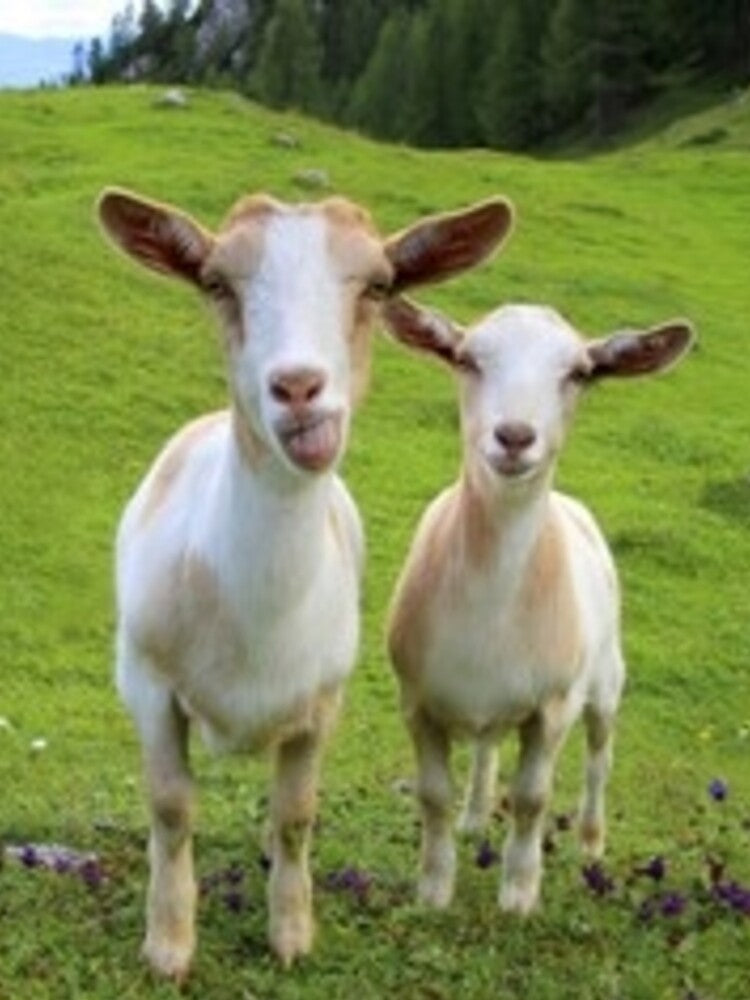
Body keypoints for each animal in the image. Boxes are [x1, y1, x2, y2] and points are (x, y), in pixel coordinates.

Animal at [97, 187, 514, 979]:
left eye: (378, 285)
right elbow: (171, 808)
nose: (298, 389)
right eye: (217, 283)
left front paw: (291, 932)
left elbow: (297, 813)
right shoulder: (148, 684)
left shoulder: (323, 701)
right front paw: (168, 945)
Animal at [383, 296, 694, 914]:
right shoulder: (417, 699)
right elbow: (433, 795)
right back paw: (475, 817)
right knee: (486, 751)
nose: (514, 436)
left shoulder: (553, 705)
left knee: (600, 758)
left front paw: (520, 894)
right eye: (466, 358)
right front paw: (434, 887)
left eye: (579, 373)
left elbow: (531, 798)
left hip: (606, 682)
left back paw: (591, 843)